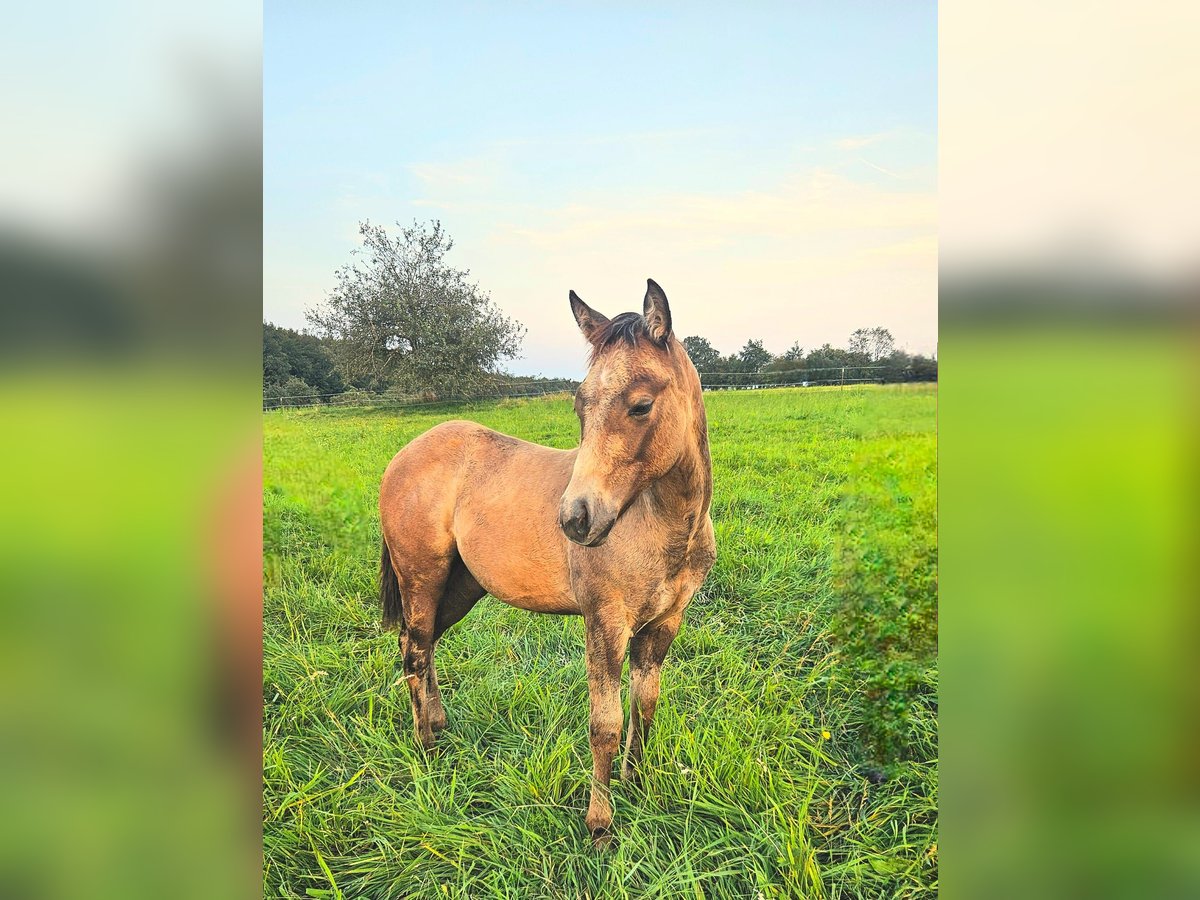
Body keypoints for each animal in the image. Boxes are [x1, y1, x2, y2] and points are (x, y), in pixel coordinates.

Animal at [376, 278, 710, 844]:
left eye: (641, 405)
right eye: (580, 406)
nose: (575, 519)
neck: (663, 527)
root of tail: (403, 455)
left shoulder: (664, 623)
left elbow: (644, 708)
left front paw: (637, 786)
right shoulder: (605, 621)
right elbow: (605, 724)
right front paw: (600, 826)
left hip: (461, 586)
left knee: (426, 644)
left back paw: (438, 725)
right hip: (421, 577)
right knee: (414, 650)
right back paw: (426, 745)